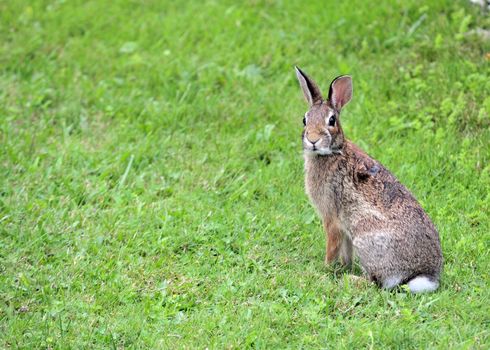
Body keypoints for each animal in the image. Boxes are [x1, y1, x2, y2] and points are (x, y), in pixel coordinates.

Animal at [294, 65, 444, 292]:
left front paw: (325, 270)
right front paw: (343, 267)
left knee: (376, 283)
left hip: (364, 236)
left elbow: (332, 246)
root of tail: (423, 275)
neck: (333, 152)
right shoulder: (344, 228)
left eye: (332, 121)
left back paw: (351, 280)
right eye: (305, 119)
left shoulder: (331, 218)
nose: (312, 140)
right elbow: (345, 252)